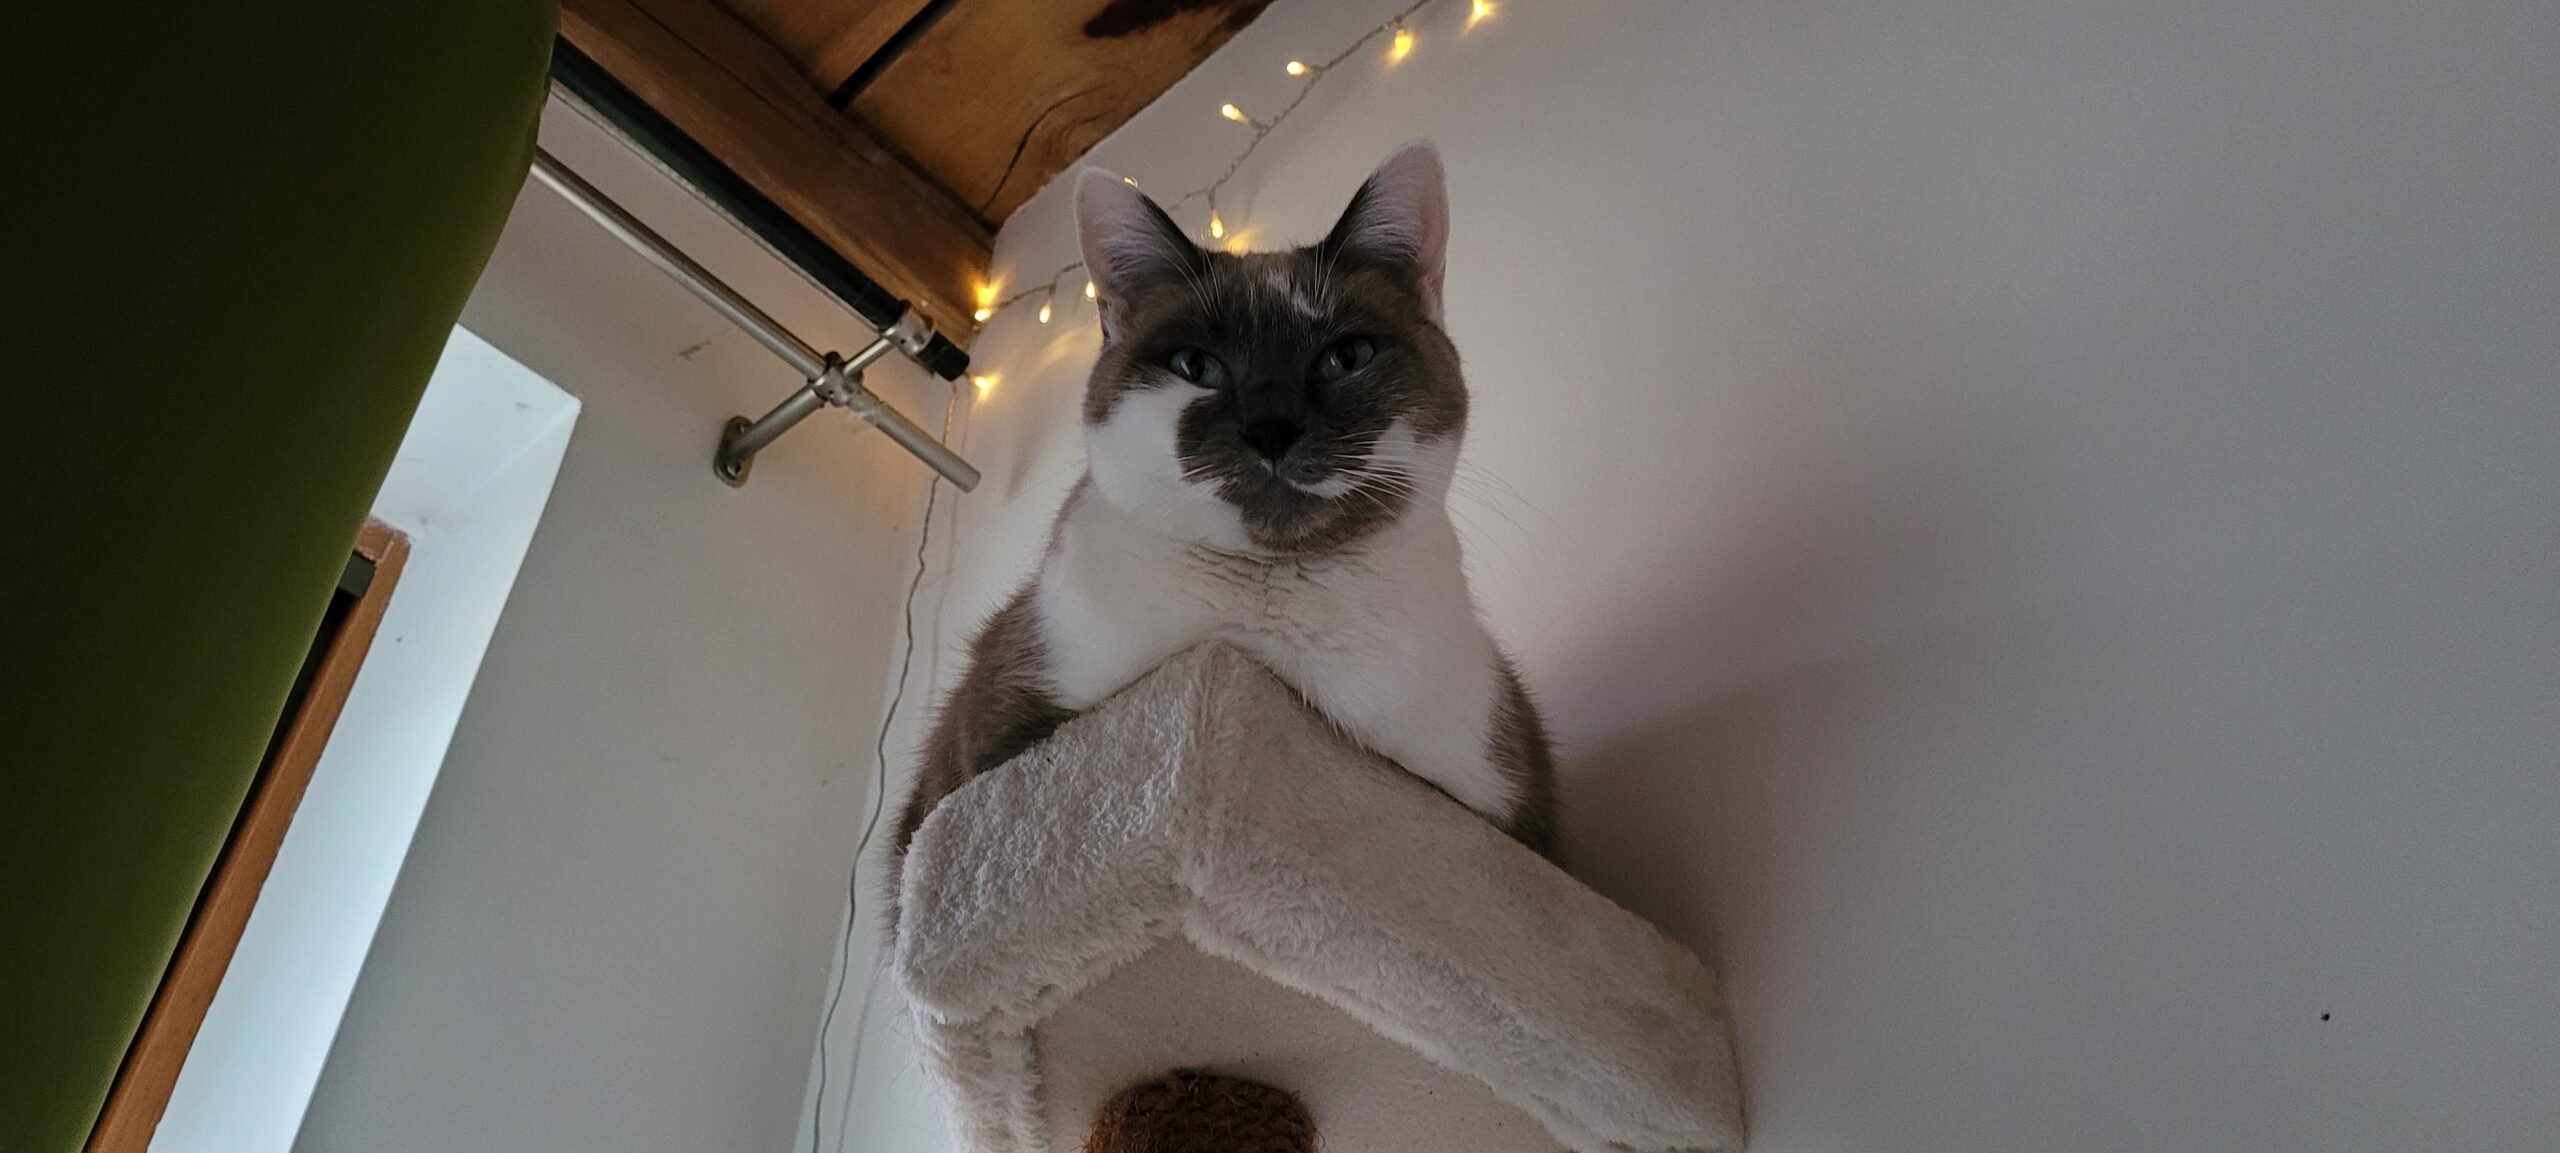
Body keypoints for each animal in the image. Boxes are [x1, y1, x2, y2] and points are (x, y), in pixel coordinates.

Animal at [880, 144, 1556, 881]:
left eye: (1346, 356)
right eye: (1195, 366)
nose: (1271, 428)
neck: (1262, 634)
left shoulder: (1490, 802)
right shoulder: (997, 739)